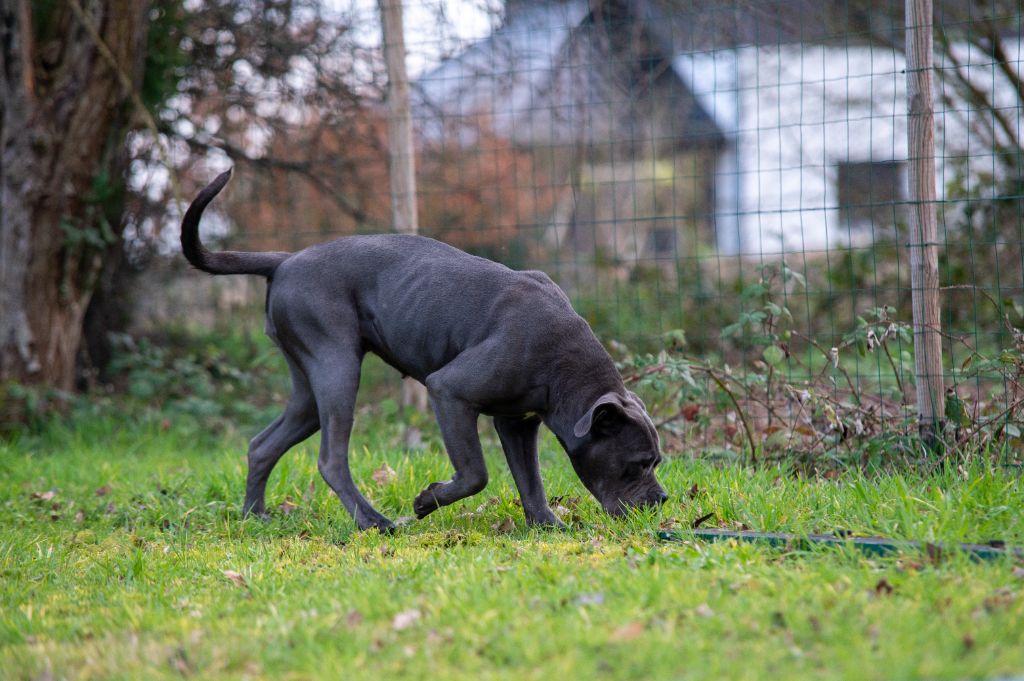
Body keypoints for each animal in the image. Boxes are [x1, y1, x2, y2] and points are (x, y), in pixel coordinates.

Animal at [181, 169, 667, 532]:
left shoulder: (517, 422)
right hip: (337, 370)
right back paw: (374, 522)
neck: (563, 367)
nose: (661, 500)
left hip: (308, 388)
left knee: (262, 445)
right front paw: (426, 501)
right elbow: (475, 473)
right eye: (639, 463)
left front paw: (546, 525)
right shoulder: (449, 392)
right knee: (331, 459)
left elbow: (530, 480)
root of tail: (285, 260)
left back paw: (255, 516)